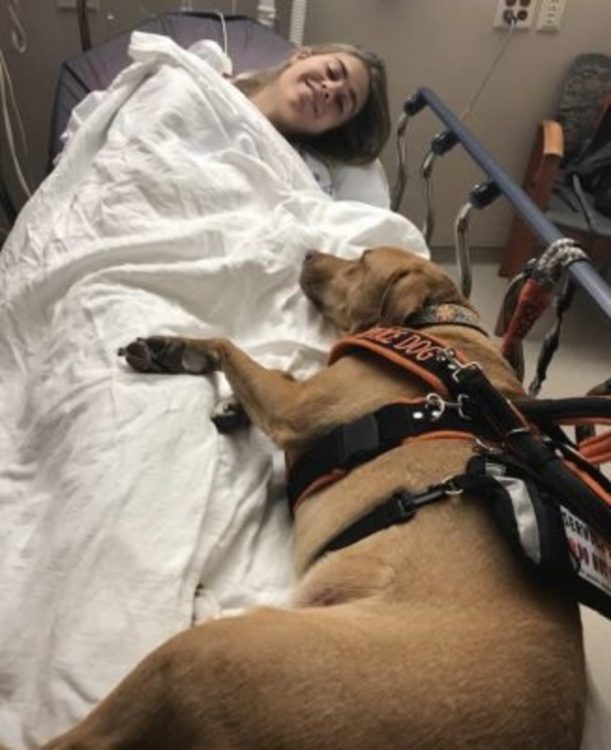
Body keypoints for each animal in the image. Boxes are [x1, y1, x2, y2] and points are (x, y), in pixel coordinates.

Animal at [44, 248, 588, 750]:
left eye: (362, 258)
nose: (305, 253)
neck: (441, 328)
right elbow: (276, 368)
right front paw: (194, 370)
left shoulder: (295, 409)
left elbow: (230, 345)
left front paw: (186, 353)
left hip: (206, 657)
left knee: (75, 739)